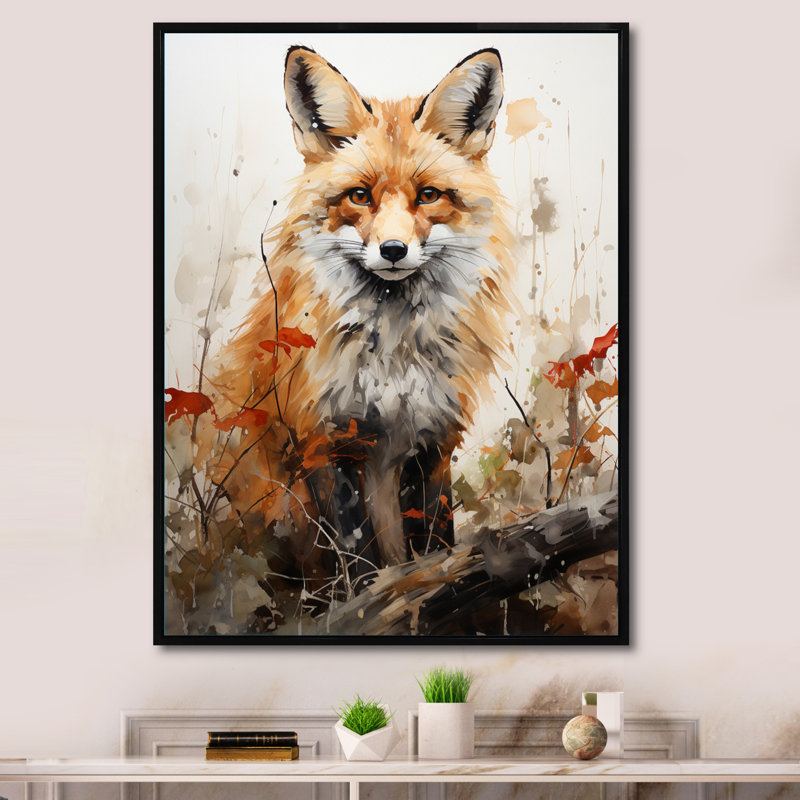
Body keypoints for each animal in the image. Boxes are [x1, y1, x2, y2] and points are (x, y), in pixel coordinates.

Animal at [202, 45, 518, 595]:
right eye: (359, 195)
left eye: (429, 195)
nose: (392, 250)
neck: (393, 354)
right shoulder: (324, 441)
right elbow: (358, 559)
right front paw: (366, 602)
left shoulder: (433, 440)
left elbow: (435, 543)